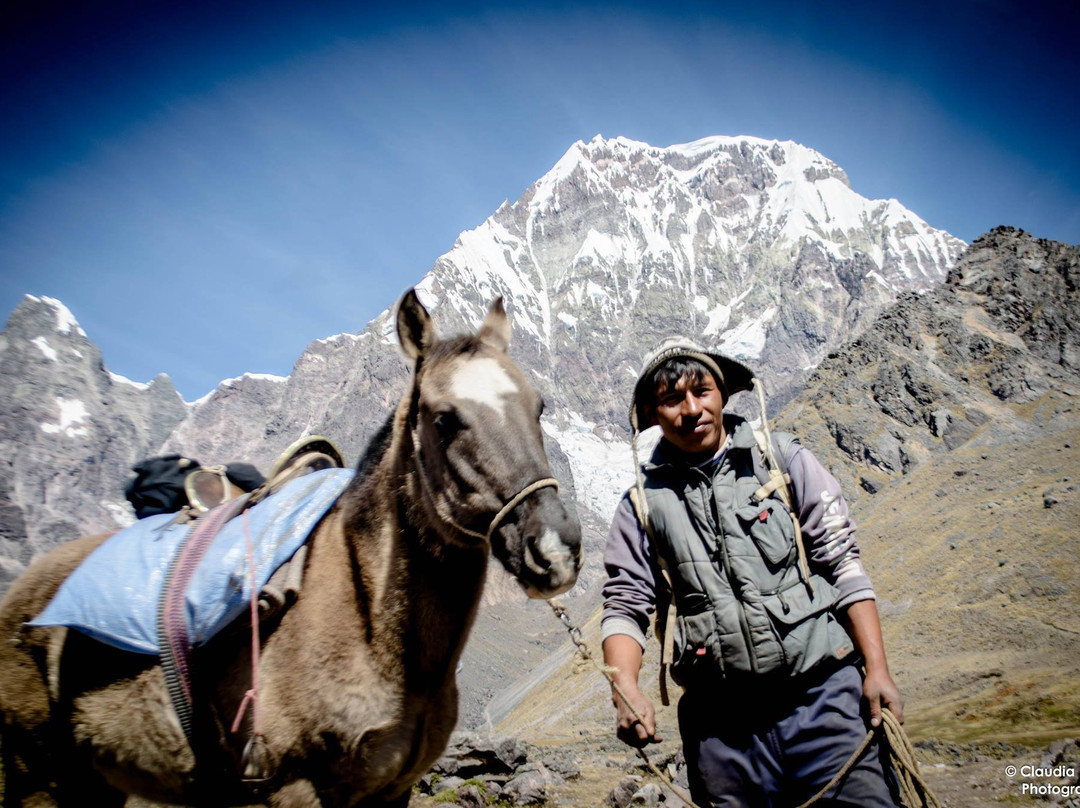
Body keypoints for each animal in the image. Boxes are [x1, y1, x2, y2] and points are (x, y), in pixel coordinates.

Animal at [0, 291, 583, 808]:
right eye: (444, 419)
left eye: (539, 407)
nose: (555, 548)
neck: (367, 625)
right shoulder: (292, 789)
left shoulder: (391, 791)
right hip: (40, 778)